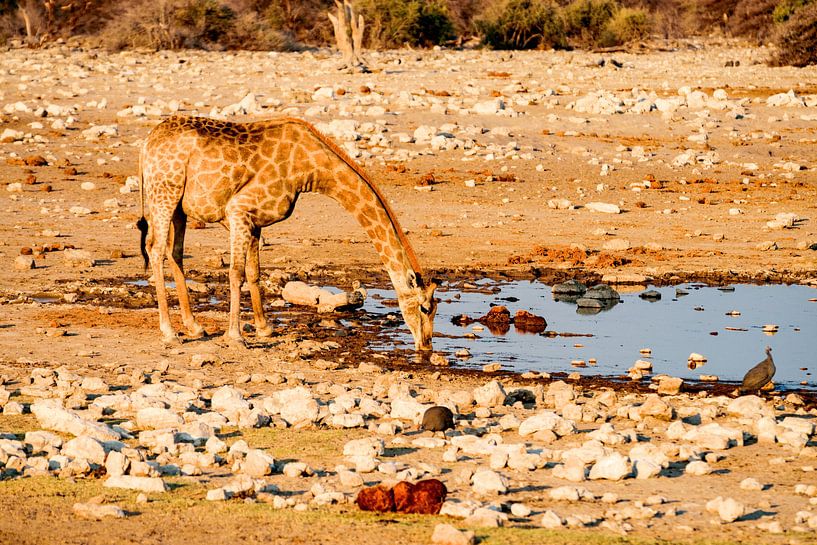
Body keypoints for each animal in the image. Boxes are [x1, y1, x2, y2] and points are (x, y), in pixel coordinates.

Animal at [137, 116, 438, 350]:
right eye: (425, 308)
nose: (425, 345)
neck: (310, 169)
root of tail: (146, 145)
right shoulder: (238, 210)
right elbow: (235, 272)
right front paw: (236, 336)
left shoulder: (254, 220)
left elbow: (253, 273)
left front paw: (264, 328)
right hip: (164, 193)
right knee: (155, 249)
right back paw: (170, 333)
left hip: (179, 205)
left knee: (174, 252)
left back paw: (194, 327)